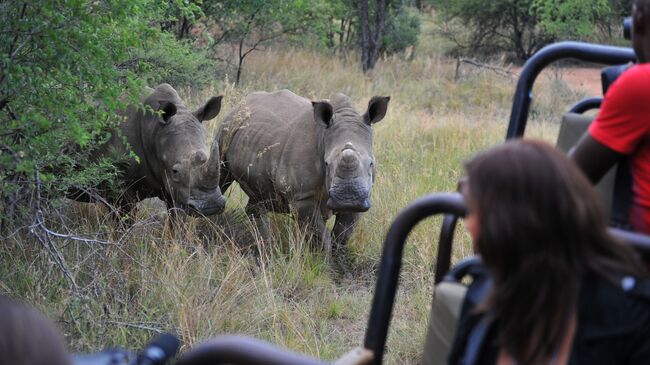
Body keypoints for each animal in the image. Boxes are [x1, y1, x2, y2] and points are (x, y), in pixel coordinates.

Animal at [218, 89, 388, 252]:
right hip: (226, 126)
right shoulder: (302, 197)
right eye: (326, 164)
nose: (348, 200)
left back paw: (264, 245)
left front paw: (337, 257)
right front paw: (321, 260)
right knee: (222, 175)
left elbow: (342, 235)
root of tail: (242, 103)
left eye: (371, 163)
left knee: (260, 192)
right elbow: (320, 238)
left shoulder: (362, 197)